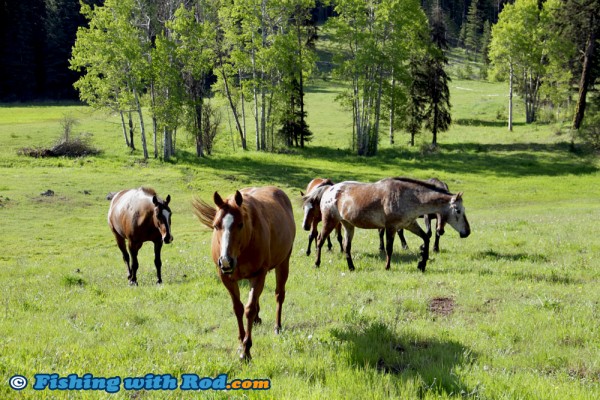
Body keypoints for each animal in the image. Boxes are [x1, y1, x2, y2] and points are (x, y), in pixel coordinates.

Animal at [192, 186, 296, 360]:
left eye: (240, 224)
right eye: (216, 225)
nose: (226, 261)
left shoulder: (259, 274)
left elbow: (249, 309)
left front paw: (247, 349)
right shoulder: (226, 278)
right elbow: (238, 308)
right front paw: (241, 342)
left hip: (283, 262)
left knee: (279, 295)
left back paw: (277, 326)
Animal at [314, 177, 468, 272]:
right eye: (458, 210)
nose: (467, 232)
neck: (408, 197)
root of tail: (329, 190)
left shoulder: (409, 224)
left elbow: (426, 238)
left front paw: (421, 264)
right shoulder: (391, 227)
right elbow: (389, 248)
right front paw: (387, 267)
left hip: (348, 225)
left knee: (346, 247)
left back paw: (351, 267)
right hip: (330, 221)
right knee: (320, 240)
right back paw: (317, 263)